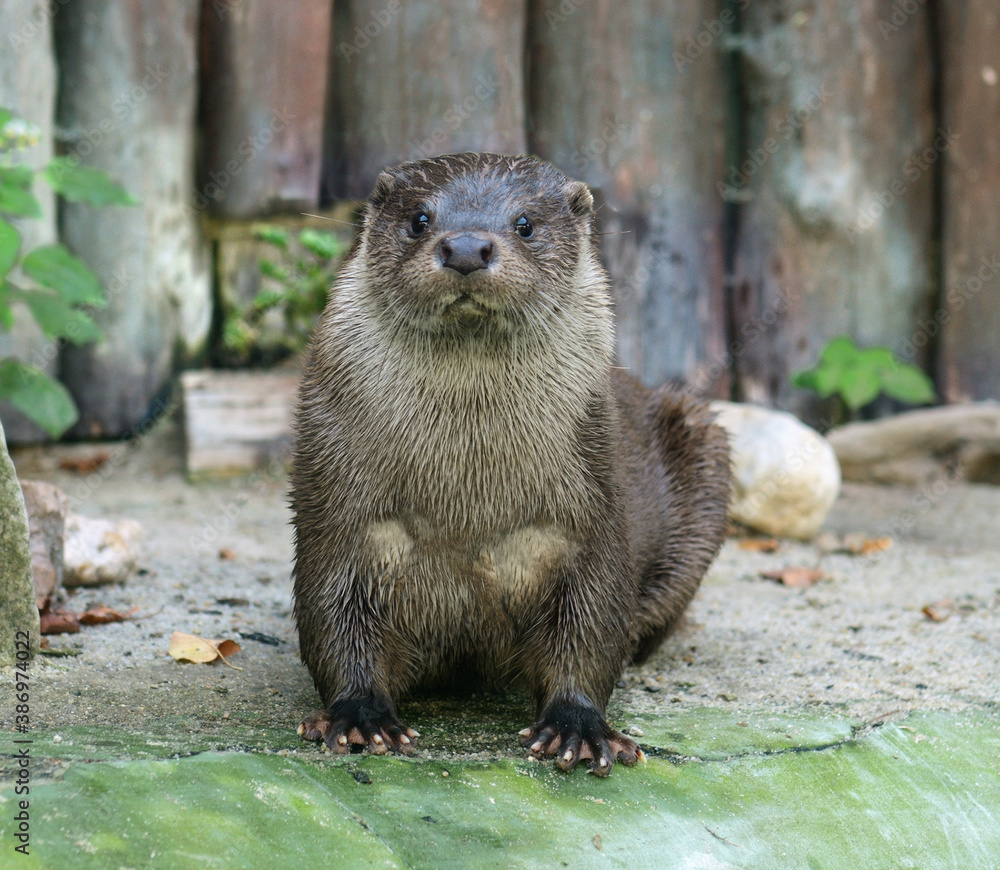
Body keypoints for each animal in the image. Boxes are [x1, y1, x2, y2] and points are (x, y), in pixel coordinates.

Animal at [291, 152, 730, 775]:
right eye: (419, 220)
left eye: (525, 224)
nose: (466, 247)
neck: (466, 507)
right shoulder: (335, 508)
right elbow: (332, 613)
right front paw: (359, 713)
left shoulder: (594, 507)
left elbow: (593, 621)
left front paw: (578, 724)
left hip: (705, 439)